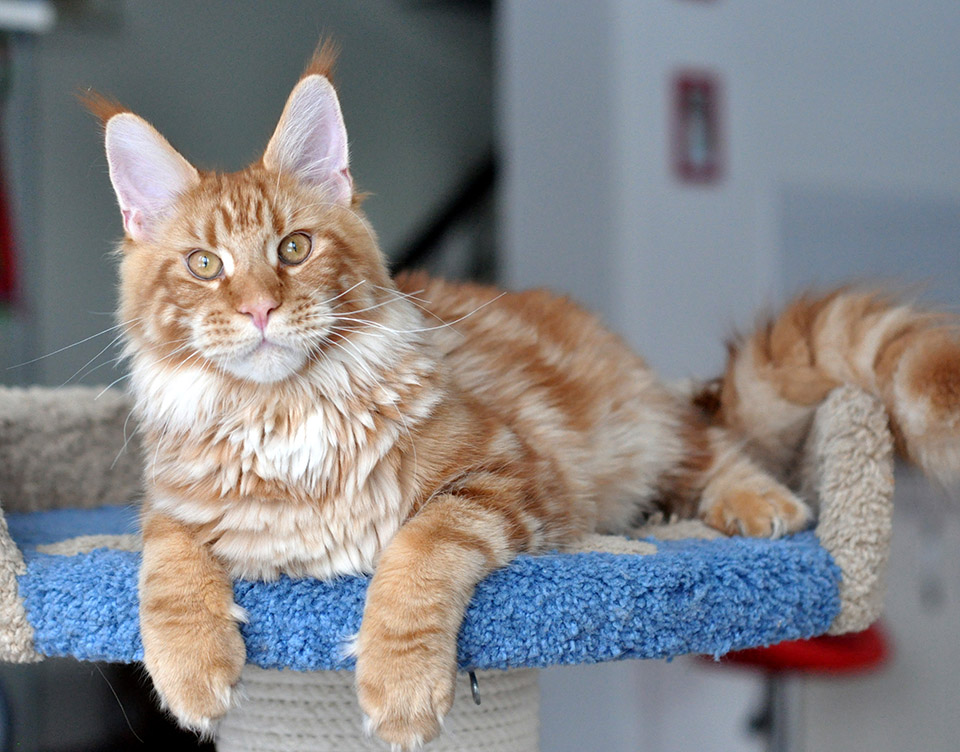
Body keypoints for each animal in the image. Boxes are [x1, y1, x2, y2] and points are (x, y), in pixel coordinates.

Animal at [86, 44, 956, 748]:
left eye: (293, 249)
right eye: (204, 266)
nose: (261, 309)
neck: (283, 413)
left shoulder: (508, 472)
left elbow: (416, 558)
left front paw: (399, 688)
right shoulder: (170, 502)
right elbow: (163, 564)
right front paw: (190, 671)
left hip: (640, 428)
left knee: (717, 450)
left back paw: (757, 505)